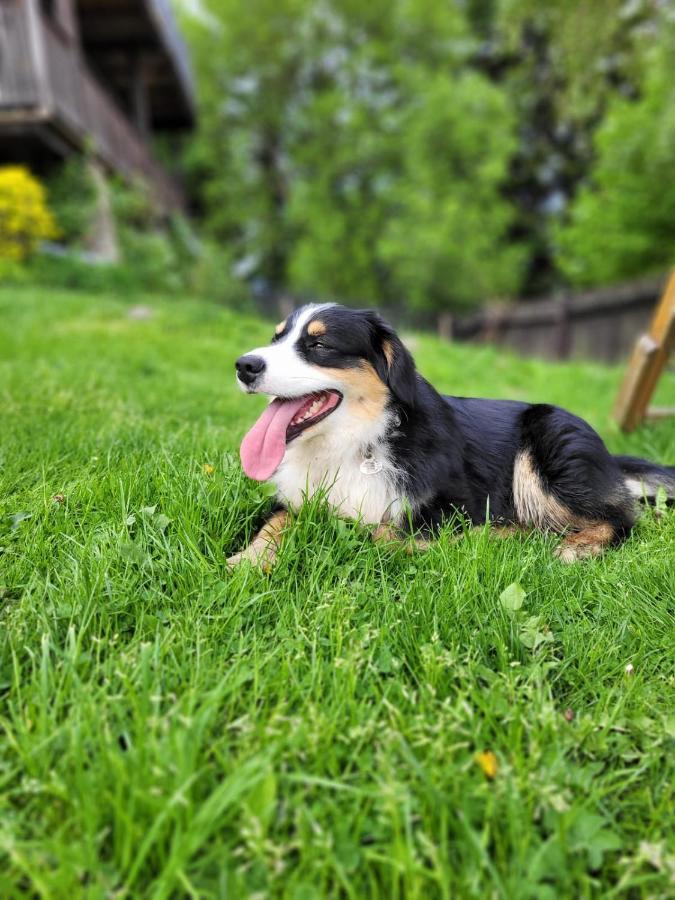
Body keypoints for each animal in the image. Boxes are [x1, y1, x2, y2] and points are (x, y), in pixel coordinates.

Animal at [228, 306, 675, 568]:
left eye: (319, 344)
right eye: (276, 338)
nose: (244, 365)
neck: (358, 443)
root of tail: (609, 457)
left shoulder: (456, 504)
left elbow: (385, 534)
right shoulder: (298, 497)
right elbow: (276, 521)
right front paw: (247, 560)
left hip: (547, 449)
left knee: (621, 518)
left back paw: (574, 545)